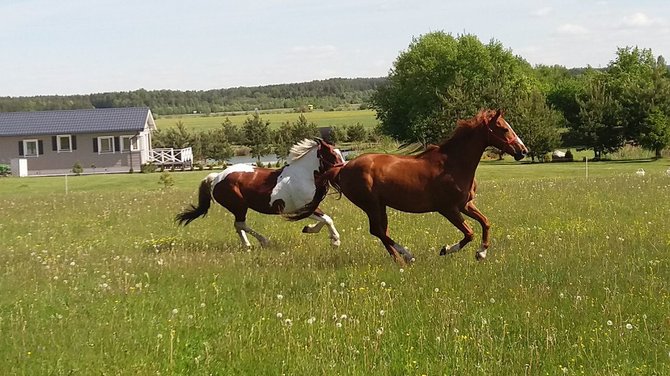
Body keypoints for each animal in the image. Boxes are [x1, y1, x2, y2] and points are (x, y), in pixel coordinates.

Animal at [177, 138, 346, 247]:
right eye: (332, 155)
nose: (342, 170)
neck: (303, 175)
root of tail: (216, 178)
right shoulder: (304, 208)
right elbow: (327, 219)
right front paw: (335, 241)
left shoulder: (309, 208)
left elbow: (324, 219)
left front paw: (309, 228)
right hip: (239, 206)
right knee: (240, 224)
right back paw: (263, 242)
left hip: (238, 208)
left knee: (238, 226)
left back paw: (248, 246)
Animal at [322, 109, 532, 264]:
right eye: (503, 129)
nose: (523, 151)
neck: (453, 164)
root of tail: (343, 168)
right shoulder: (448, 209)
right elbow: (469, 233)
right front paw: (446, 249)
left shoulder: (465, 204)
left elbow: (485, 222)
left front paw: (481, 253)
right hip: (370, 205)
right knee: (378, 231)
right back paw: (407, 256)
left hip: (380, 206)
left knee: (382, 231)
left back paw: (399, 259)